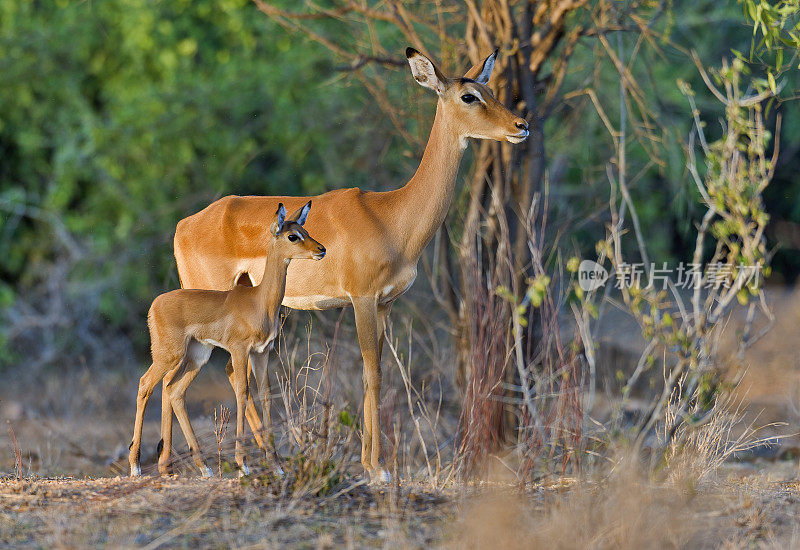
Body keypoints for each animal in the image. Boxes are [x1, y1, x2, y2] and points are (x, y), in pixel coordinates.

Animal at [128, 203, 322, 478]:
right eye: (292, 236)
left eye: (305, 229)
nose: (321, 249)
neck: (259, 301)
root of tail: (155, 304)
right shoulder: (239, 350)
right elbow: (242, 392)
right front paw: (243, 464)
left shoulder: (262, 352)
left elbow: (265, 394)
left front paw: (276, 466)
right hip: (169, 355)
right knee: (145, 385)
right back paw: (135, 466)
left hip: (197, 356)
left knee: (174, 390)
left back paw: (204, 467)